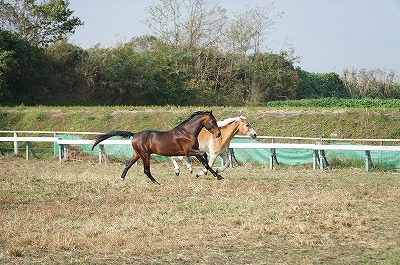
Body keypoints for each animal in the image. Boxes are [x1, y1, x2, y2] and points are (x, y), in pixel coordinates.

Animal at [91, 110, 222, 184]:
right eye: (213, 121)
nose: (218, 134)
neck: (187, 132)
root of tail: (135, 134)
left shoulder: (194, 151)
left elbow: (205, 163)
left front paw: (218, 176)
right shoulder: (189, 151)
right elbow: (204, 156)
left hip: (138, 154)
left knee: (128, 164)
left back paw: (122, 179)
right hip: (145, 155)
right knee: (146, 170)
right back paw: (156, 183)